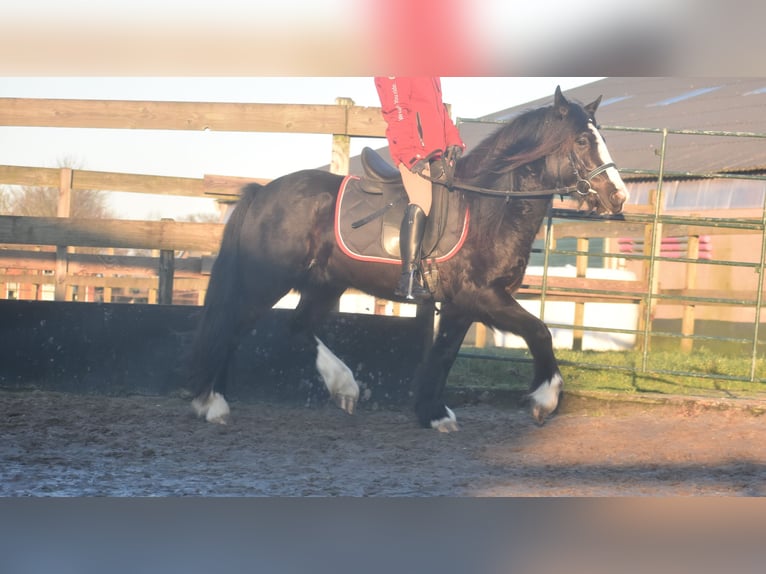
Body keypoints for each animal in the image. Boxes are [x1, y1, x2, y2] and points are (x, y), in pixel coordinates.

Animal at [188, 86, 632, 432]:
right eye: (582, 142)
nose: (619, 197)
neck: (488, 208)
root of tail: (262, 192)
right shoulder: (483, 296)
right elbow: (539, 332)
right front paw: (545, 398)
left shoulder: (461, 304)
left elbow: (444, 355)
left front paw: (433, 413)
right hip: (267, 280)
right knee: (232, 327)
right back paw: (213, 403)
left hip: (324, 284)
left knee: (296, 328)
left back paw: (341, 387)